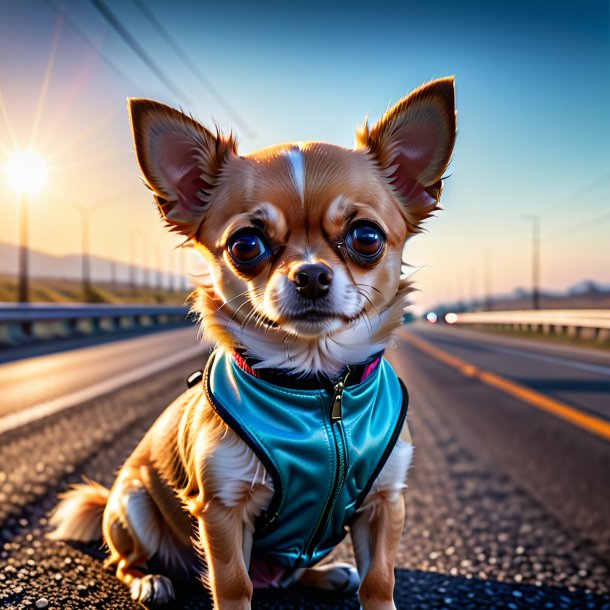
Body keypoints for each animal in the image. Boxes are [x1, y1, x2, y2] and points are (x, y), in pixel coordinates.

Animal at [50, 78, 454, 604]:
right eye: (246, 244)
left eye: (366, 237)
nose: (311, 275)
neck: (316, 387)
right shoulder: (223, 507)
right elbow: (234, 584)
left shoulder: (385, 501)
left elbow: (379, 581)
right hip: (133, 500)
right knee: (123, 560)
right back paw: (150, 580)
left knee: (293, 573)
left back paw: (329, 574)